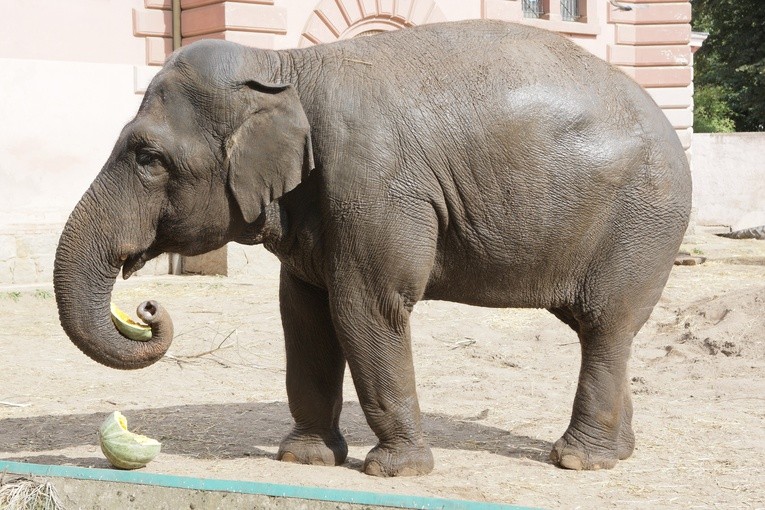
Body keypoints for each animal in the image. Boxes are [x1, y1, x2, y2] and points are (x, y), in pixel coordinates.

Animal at [53, 18, 692, 474]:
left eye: (148, 157)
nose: (147, 308)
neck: (285, 67)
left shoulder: (374, 185)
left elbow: (367, 309)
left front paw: (396, 470)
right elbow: (303, 316)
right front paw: (305, 458)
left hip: (641, 224)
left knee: (604, 327)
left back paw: (580, 460)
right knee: (610, 334)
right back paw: (619, 452)